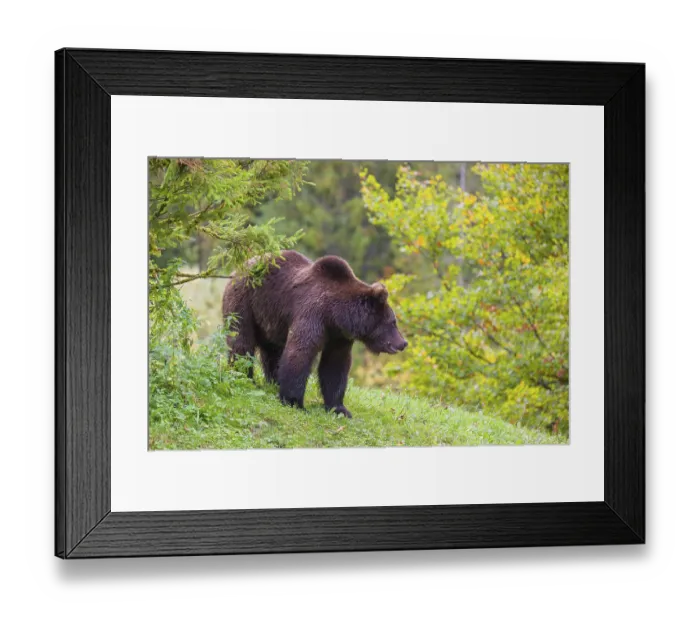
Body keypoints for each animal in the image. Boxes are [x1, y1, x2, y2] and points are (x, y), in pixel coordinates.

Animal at [222, 250, 407, 419]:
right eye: (393, 321)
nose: (403, 343)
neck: (335, 314)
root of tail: (237, 269)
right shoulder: (312, 315)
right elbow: (300, 353)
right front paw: (294, 402)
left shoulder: (339, 336)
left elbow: (335, 365)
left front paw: (339, 408)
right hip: (246, 302)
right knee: (241, 341)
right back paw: (243, 376)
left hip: (271, 319)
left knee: (272, 352)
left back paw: (273, 382)